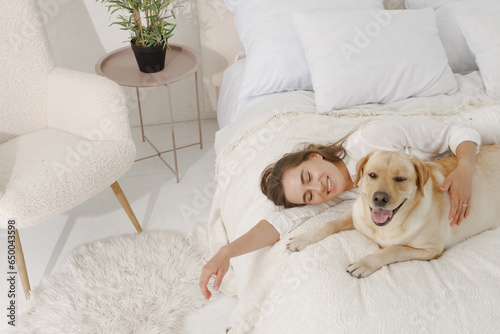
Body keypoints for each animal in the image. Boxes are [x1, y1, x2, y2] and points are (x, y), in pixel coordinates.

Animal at [288, 145, 500, 278]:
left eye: (400, 179)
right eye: (372, 175)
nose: (380, 198)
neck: (382, 228)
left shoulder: (430, 250)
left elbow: (393, 249)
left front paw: (365, 263)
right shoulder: (355, 216)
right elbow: (329, 223)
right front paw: (303, 238)